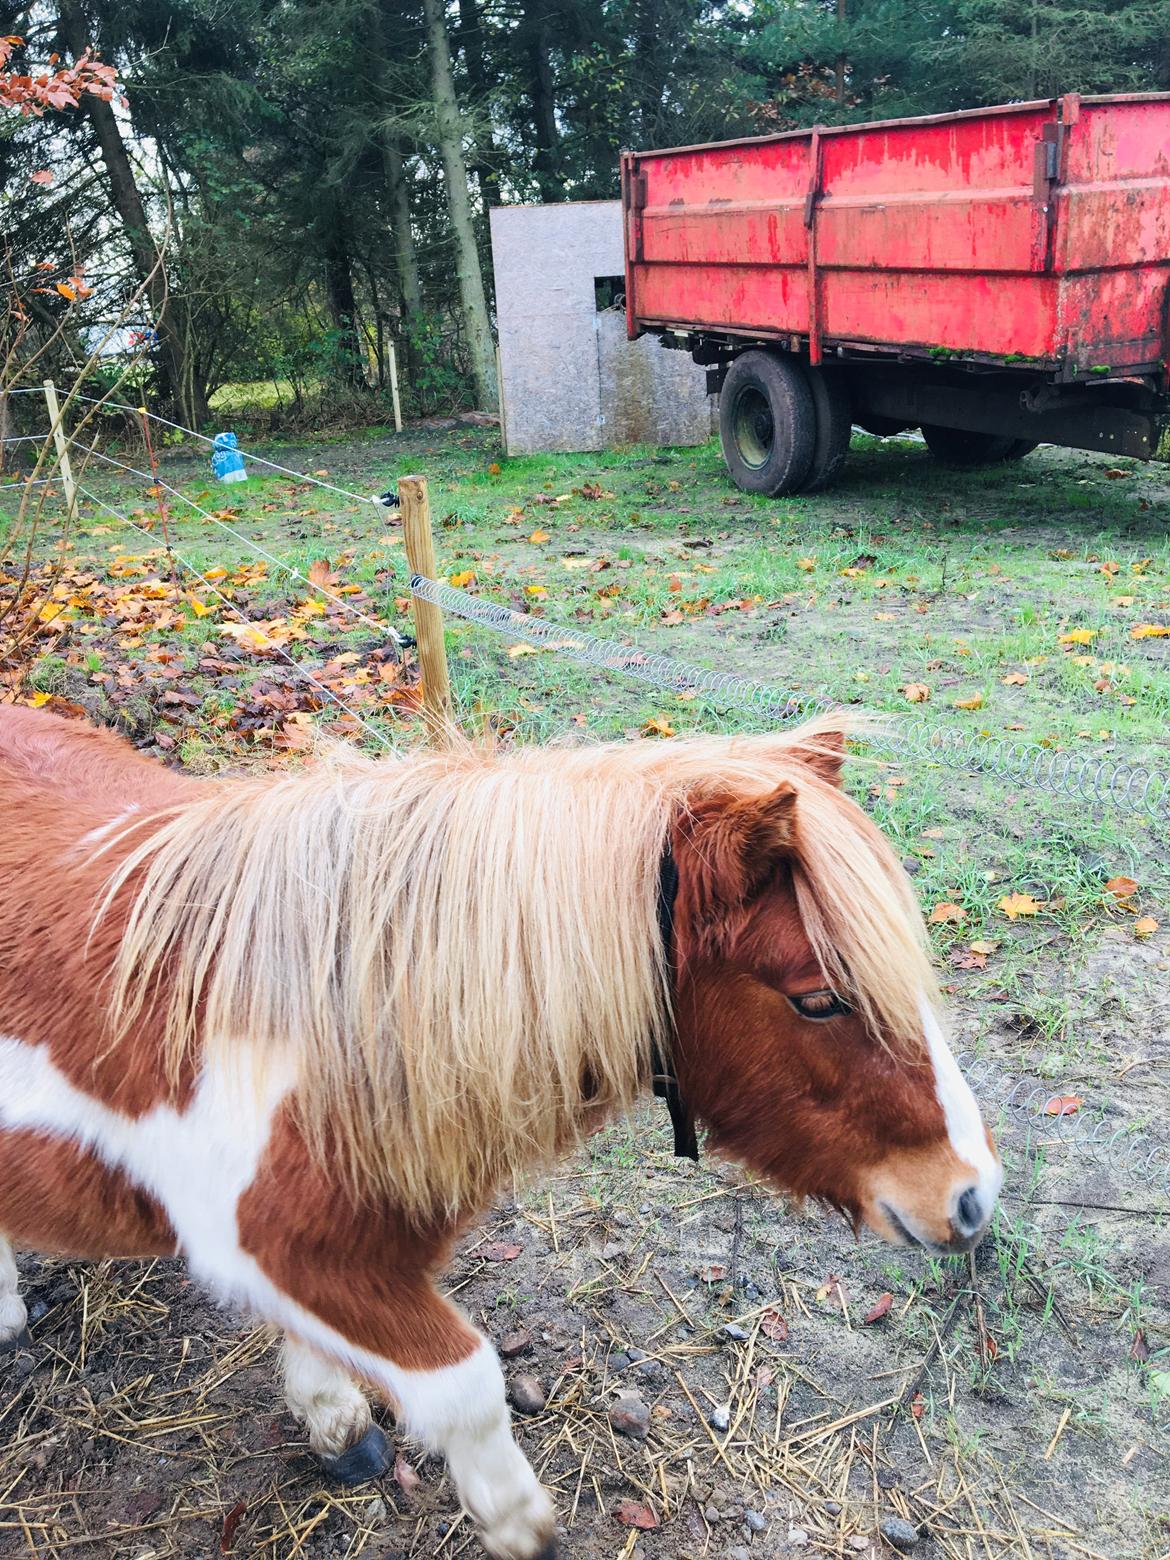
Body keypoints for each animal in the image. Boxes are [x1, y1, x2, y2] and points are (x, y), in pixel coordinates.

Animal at [0, 711, 1004, 1560]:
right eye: (819, 998)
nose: (973, 1197)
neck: (321, 1024)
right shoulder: (281, 1248)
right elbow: (467, 1389)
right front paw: (519, 1523)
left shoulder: (319, 1257)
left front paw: (334, 1423)